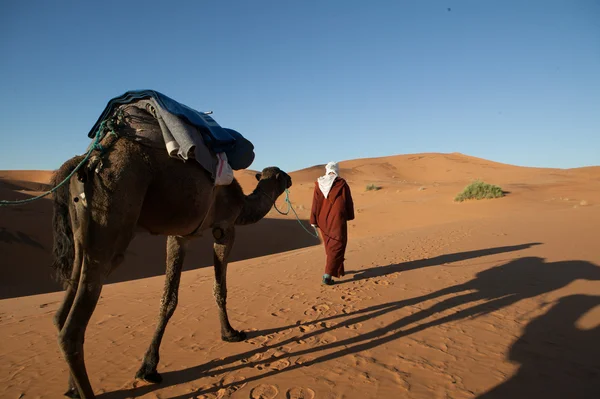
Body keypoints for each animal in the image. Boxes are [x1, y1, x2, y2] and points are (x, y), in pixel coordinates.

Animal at [49, 110, 292, 399]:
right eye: (282, 175)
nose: (290, 179)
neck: (243, 203)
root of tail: (85, 162)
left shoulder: (179, 236)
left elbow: (169, 298)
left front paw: (149, 367)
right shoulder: (225, 228)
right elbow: (219, 287)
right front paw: (230, 333)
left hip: (80, 238)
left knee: (62, 313)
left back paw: (72, 388)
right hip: (111, 224)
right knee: (72, 329)